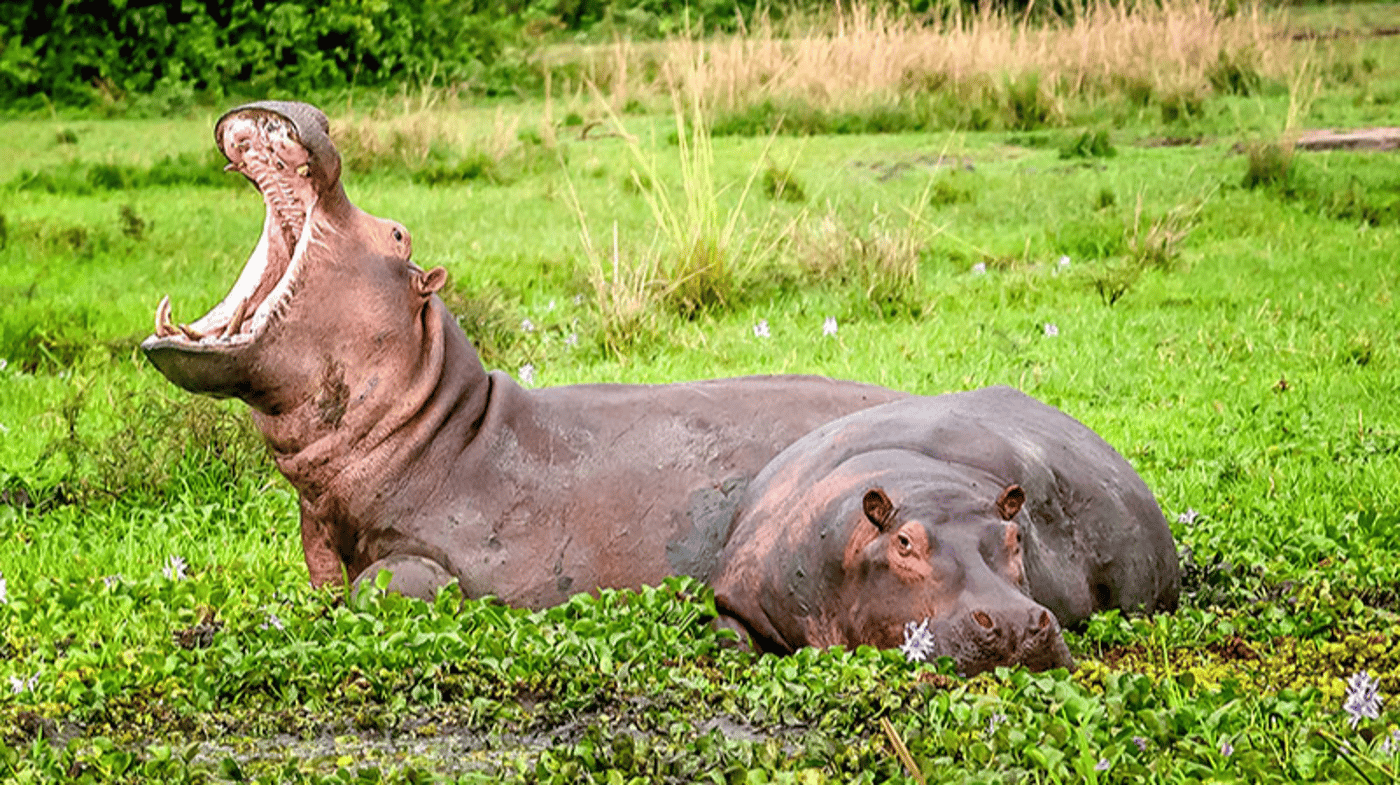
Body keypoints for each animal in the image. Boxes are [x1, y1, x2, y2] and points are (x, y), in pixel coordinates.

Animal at [709, 388, 1180, 675]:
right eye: (904, 542)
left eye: (1015, 538)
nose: (1013, 623)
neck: (927, 482)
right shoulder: (744, 587)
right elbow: (731, 634)